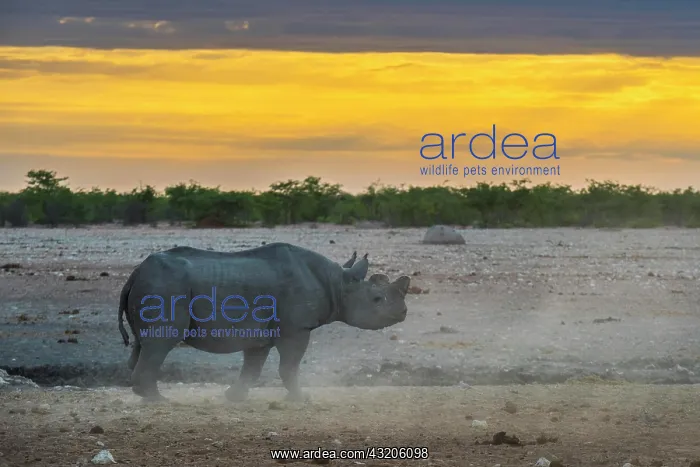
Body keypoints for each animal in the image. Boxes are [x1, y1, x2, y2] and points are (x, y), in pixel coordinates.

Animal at [118, 242, 411, 402]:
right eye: (377, 299)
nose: (404, 313)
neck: (339, 283)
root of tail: (135, 272)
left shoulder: (258, 332)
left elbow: (252, 368)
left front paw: (234, 398)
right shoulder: (296, 329)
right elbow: (289, 366)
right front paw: (301, 400)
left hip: (156, 285)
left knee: (144, 344)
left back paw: (146, 395)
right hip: (165, 287)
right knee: (161, 343)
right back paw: (159, 399)